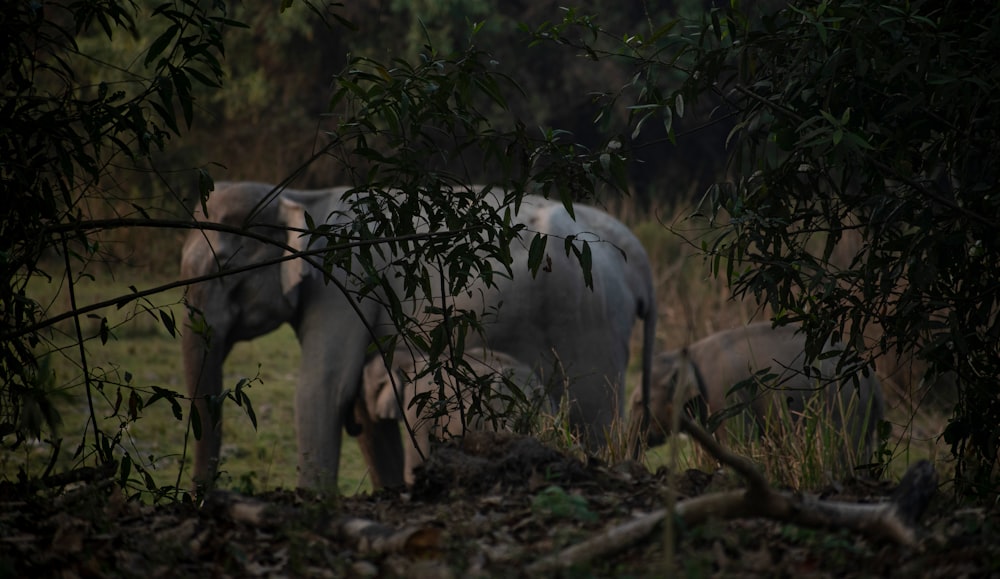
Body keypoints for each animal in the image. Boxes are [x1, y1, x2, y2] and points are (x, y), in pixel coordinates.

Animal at [628, 324, 888, 474]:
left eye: (639, 402)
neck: (686, 352)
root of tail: (875, 381)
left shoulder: (725, 393)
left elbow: (736, 443)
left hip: (845, 404)